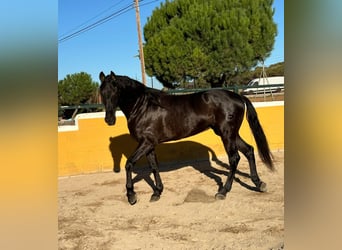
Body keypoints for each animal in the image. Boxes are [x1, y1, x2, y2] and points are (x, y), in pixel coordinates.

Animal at [99, 71, 272, 205]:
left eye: (114, 92)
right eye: (102, 93)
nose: (109, 120)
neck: (143, 106)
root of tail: (237, 96)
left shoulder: (146, 143)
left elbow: (129, 164)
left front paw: (131, 196)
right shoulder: (150, 145)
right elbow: (154, 166)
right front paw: (157, 193)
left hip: (227, 133)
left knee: (234, 158)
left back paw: (223, 191)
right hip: (230, 133)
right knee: (248, 150)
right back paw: (259, 184)